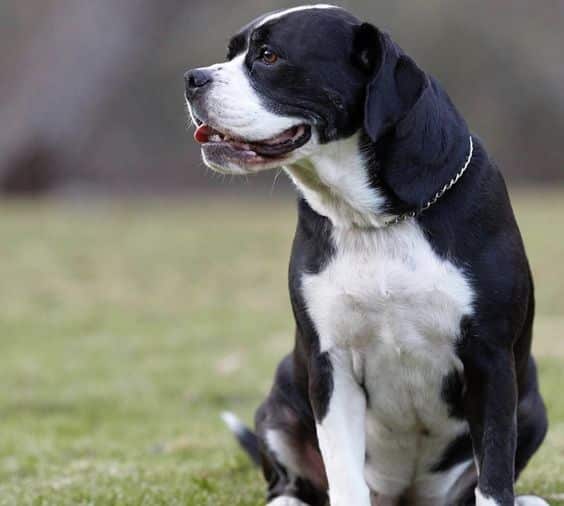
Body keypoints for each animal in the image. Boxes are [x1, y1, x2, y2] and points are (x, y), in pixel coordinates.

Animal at [184, 4, 548, 506]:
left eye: (269, 56)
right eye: (231, 53)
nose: (192, 78)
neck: (375, 220)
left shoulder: (490, 360)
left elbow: (494, 473)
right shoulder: (330, 364)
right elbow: (342, 472)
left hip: (531, 401)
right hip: (279, 401)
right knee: (289, 478)